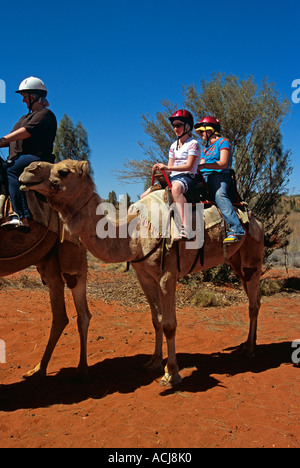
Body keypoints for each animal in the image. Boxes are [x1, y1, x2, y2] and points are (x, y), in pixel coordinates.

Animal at [0, 206, 91, 380]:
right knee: (62, 316)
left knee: (80, 309)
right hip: (48, 260)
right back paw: (38, 369)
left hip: (72, 250)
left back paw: (81, 371)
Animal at [19, 159, 264, 386]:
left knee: (253, 302)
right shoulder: (144, 276)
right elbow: (156, 320)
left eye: (63, 171)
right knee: (254, 296)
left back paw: (251, 350)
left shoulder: (167, 275)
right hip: (235, 260)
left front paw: (171, 374)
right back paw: (246, 344)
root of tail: (254, 216)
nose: (27, 172)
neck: (134, 233)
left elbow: (169, 325)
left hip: (253, 252)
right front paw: (154, 362)